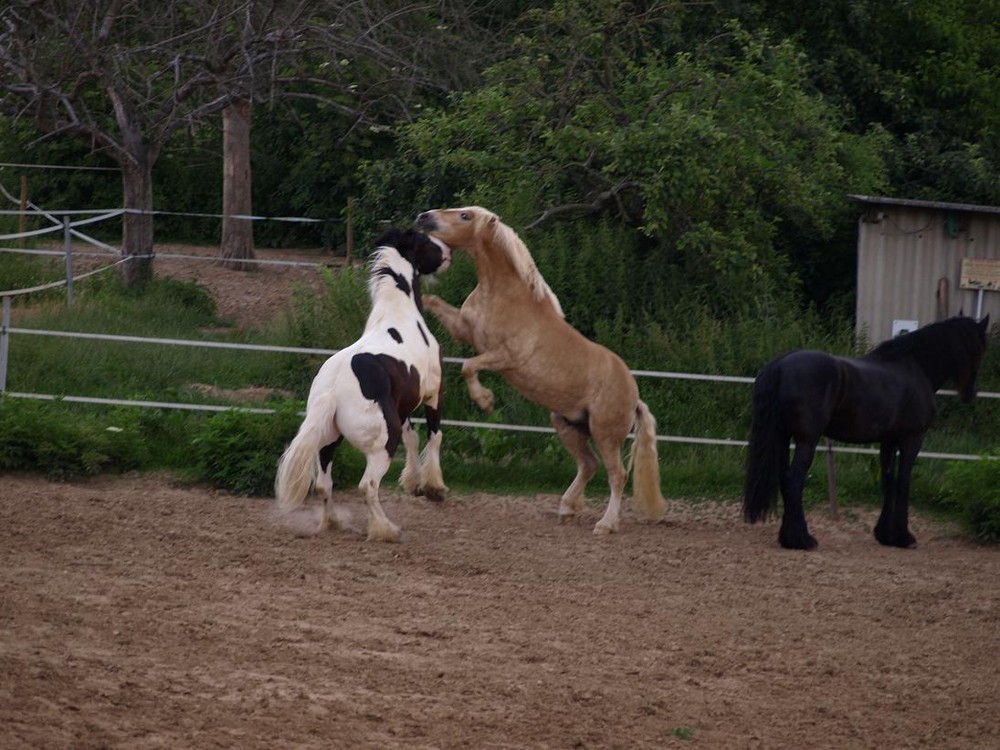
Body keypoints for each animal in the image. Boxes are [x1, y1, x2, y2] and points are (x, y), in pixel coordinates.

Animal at [272, 229, 452, 540]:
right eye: (424, 240)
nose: (448, 252)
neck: (401, 316)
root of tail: (332, 391)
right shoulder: (432, 394)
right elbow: (434, 436)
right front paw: (433, 487)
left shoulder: (403, 406)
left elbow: (413, 438)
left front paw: (414, 483)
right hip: (382, 445)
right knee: (367, 486)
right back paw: (386, 530)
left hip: (328, 441)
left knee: (324, 485)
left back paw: (333, 523)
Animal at [414, 206, 664, 536]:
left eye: (466, 216)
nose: (424, 217)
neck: (502, 294)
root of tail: (634, 396)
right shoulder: (464, 330)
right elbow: (434, 304)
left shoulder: (506, 357)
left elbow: (469, 366)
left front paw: (486, 401)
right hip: (568, 425)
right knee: (589, 465)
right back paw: (567, 508)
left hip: (605, 433)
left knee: (617, 474)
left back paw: (606, 524)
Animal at [740, 314, 988, 548]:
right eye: (980, 348)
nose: (971, 394)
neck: (914, 368)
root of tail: (779, 365)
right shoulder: (912, 440)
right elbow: (904, 482)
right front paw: (904, 537)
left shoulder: (888, 442)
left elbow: (889, 480)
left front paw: (886, 535)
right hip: (806, 441)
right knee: (794, 480)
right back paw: (802, 539)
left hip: (783, 437)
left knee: (784, 478)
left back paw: (787, 538)